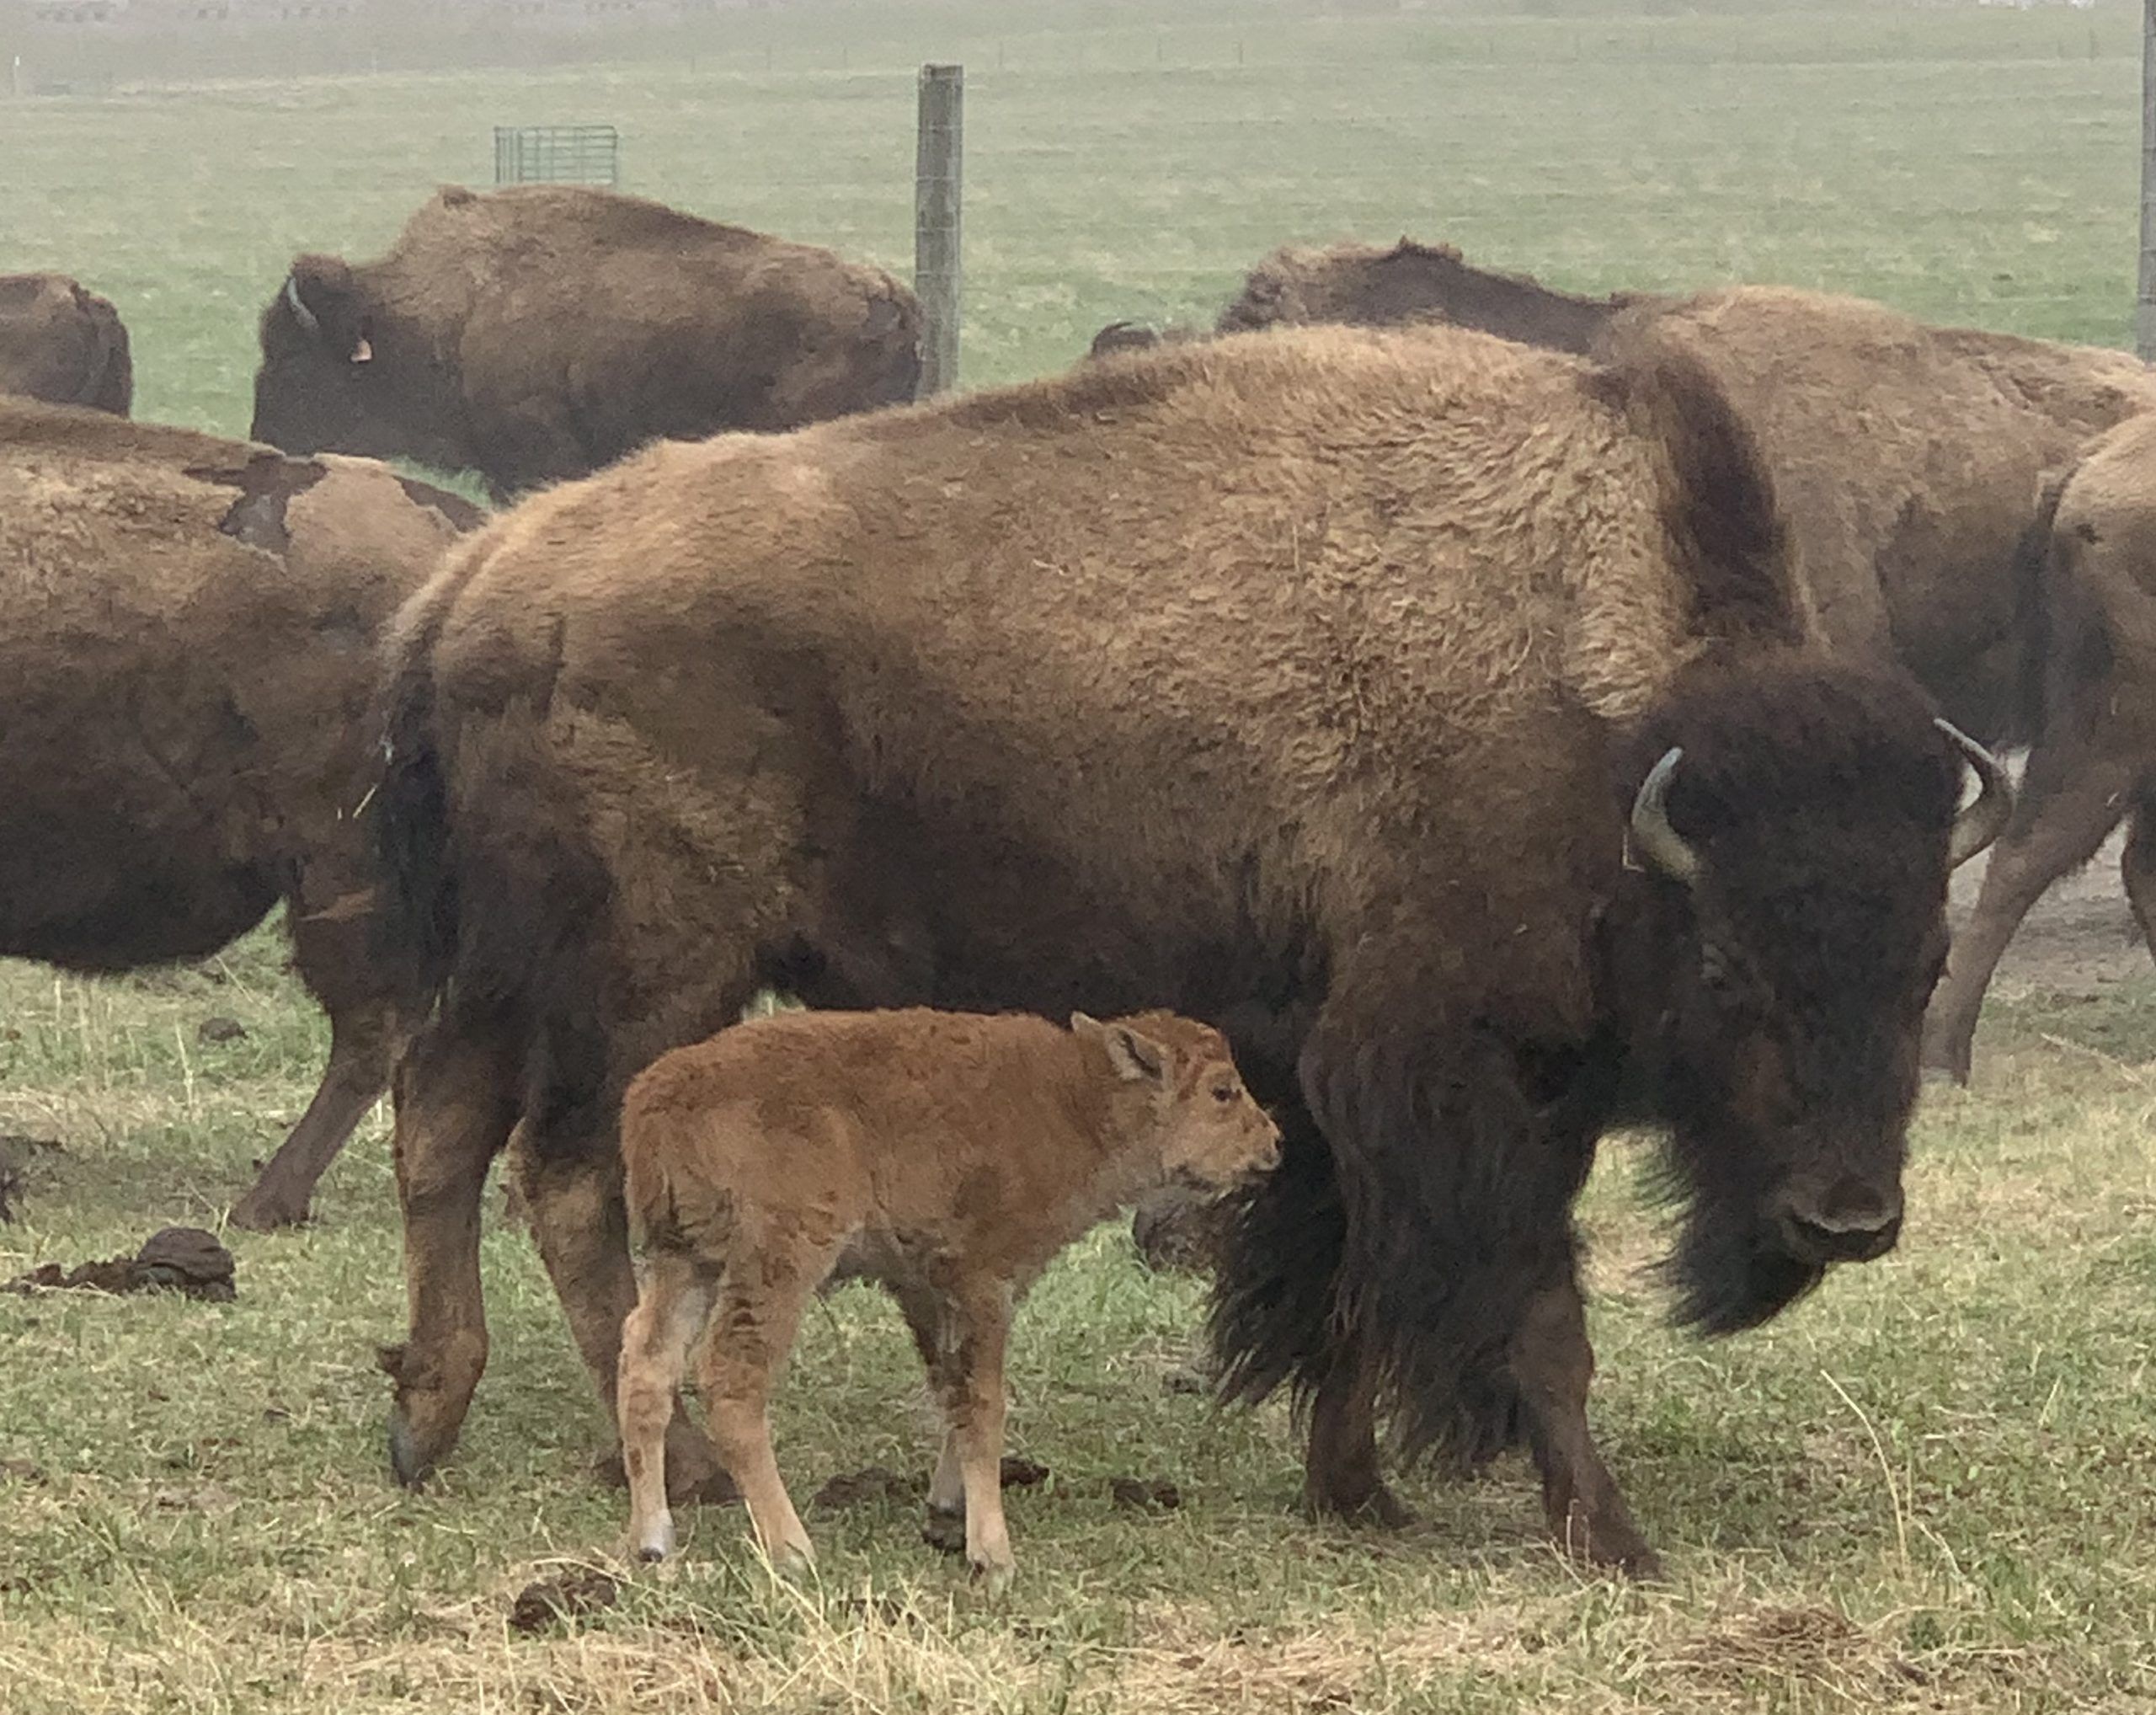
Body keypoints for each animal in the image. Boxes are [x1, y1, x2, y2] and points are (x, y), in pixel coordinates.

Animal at [367, 321, 2008, 1574]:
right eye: (1729, 964)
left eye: (1923, 964)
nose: (1849, 1216)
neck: (1594, 724)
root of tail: (480, 575)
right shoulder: (1453, 1074)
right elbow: (1533, 1310)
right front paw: (1608, 1534)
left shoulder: (1333, 1080)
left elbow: (1350, 1288)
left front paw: (1358, 1492)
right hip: (649, 977)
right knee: (565, 1176)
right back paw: (683, 1472)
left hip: (516, 971)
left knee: (441, 1118)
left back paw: (427, 1420)